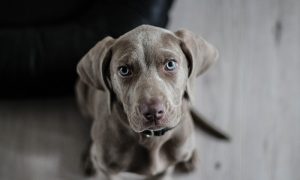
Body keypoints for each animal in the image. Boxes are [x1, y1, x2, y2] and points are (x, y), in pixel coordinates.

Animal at [76, 24, 229, 179]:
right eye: (124, 70)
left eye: (170, 64)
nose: (153, 112)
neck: (152, 139)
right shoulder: (108, 171)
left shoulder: (165, 169)